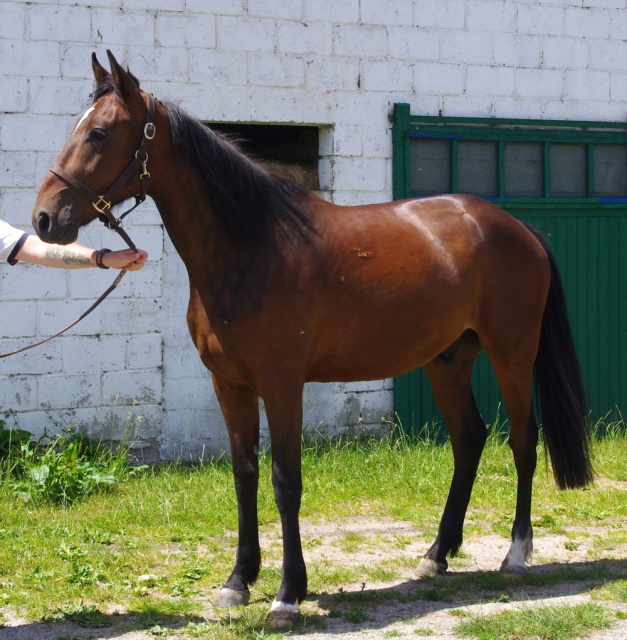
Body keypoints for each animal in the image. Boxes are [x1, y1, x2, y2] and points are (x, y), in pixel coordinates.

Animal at [31, 51, 596, 632]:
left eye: (99, 133)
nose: (46, 219)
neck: (252, 248)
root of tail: (522, 231)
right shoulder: (229, 384)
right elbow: (244, 475)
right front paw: (238, 580)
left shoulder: (282, 384)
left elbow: (286, 481)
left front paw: (287, 595)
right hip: (447, 361)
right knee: (469, 440)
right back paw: (437, 553)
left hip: (512, 354)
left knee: (523, 442)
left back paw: (516, 553)